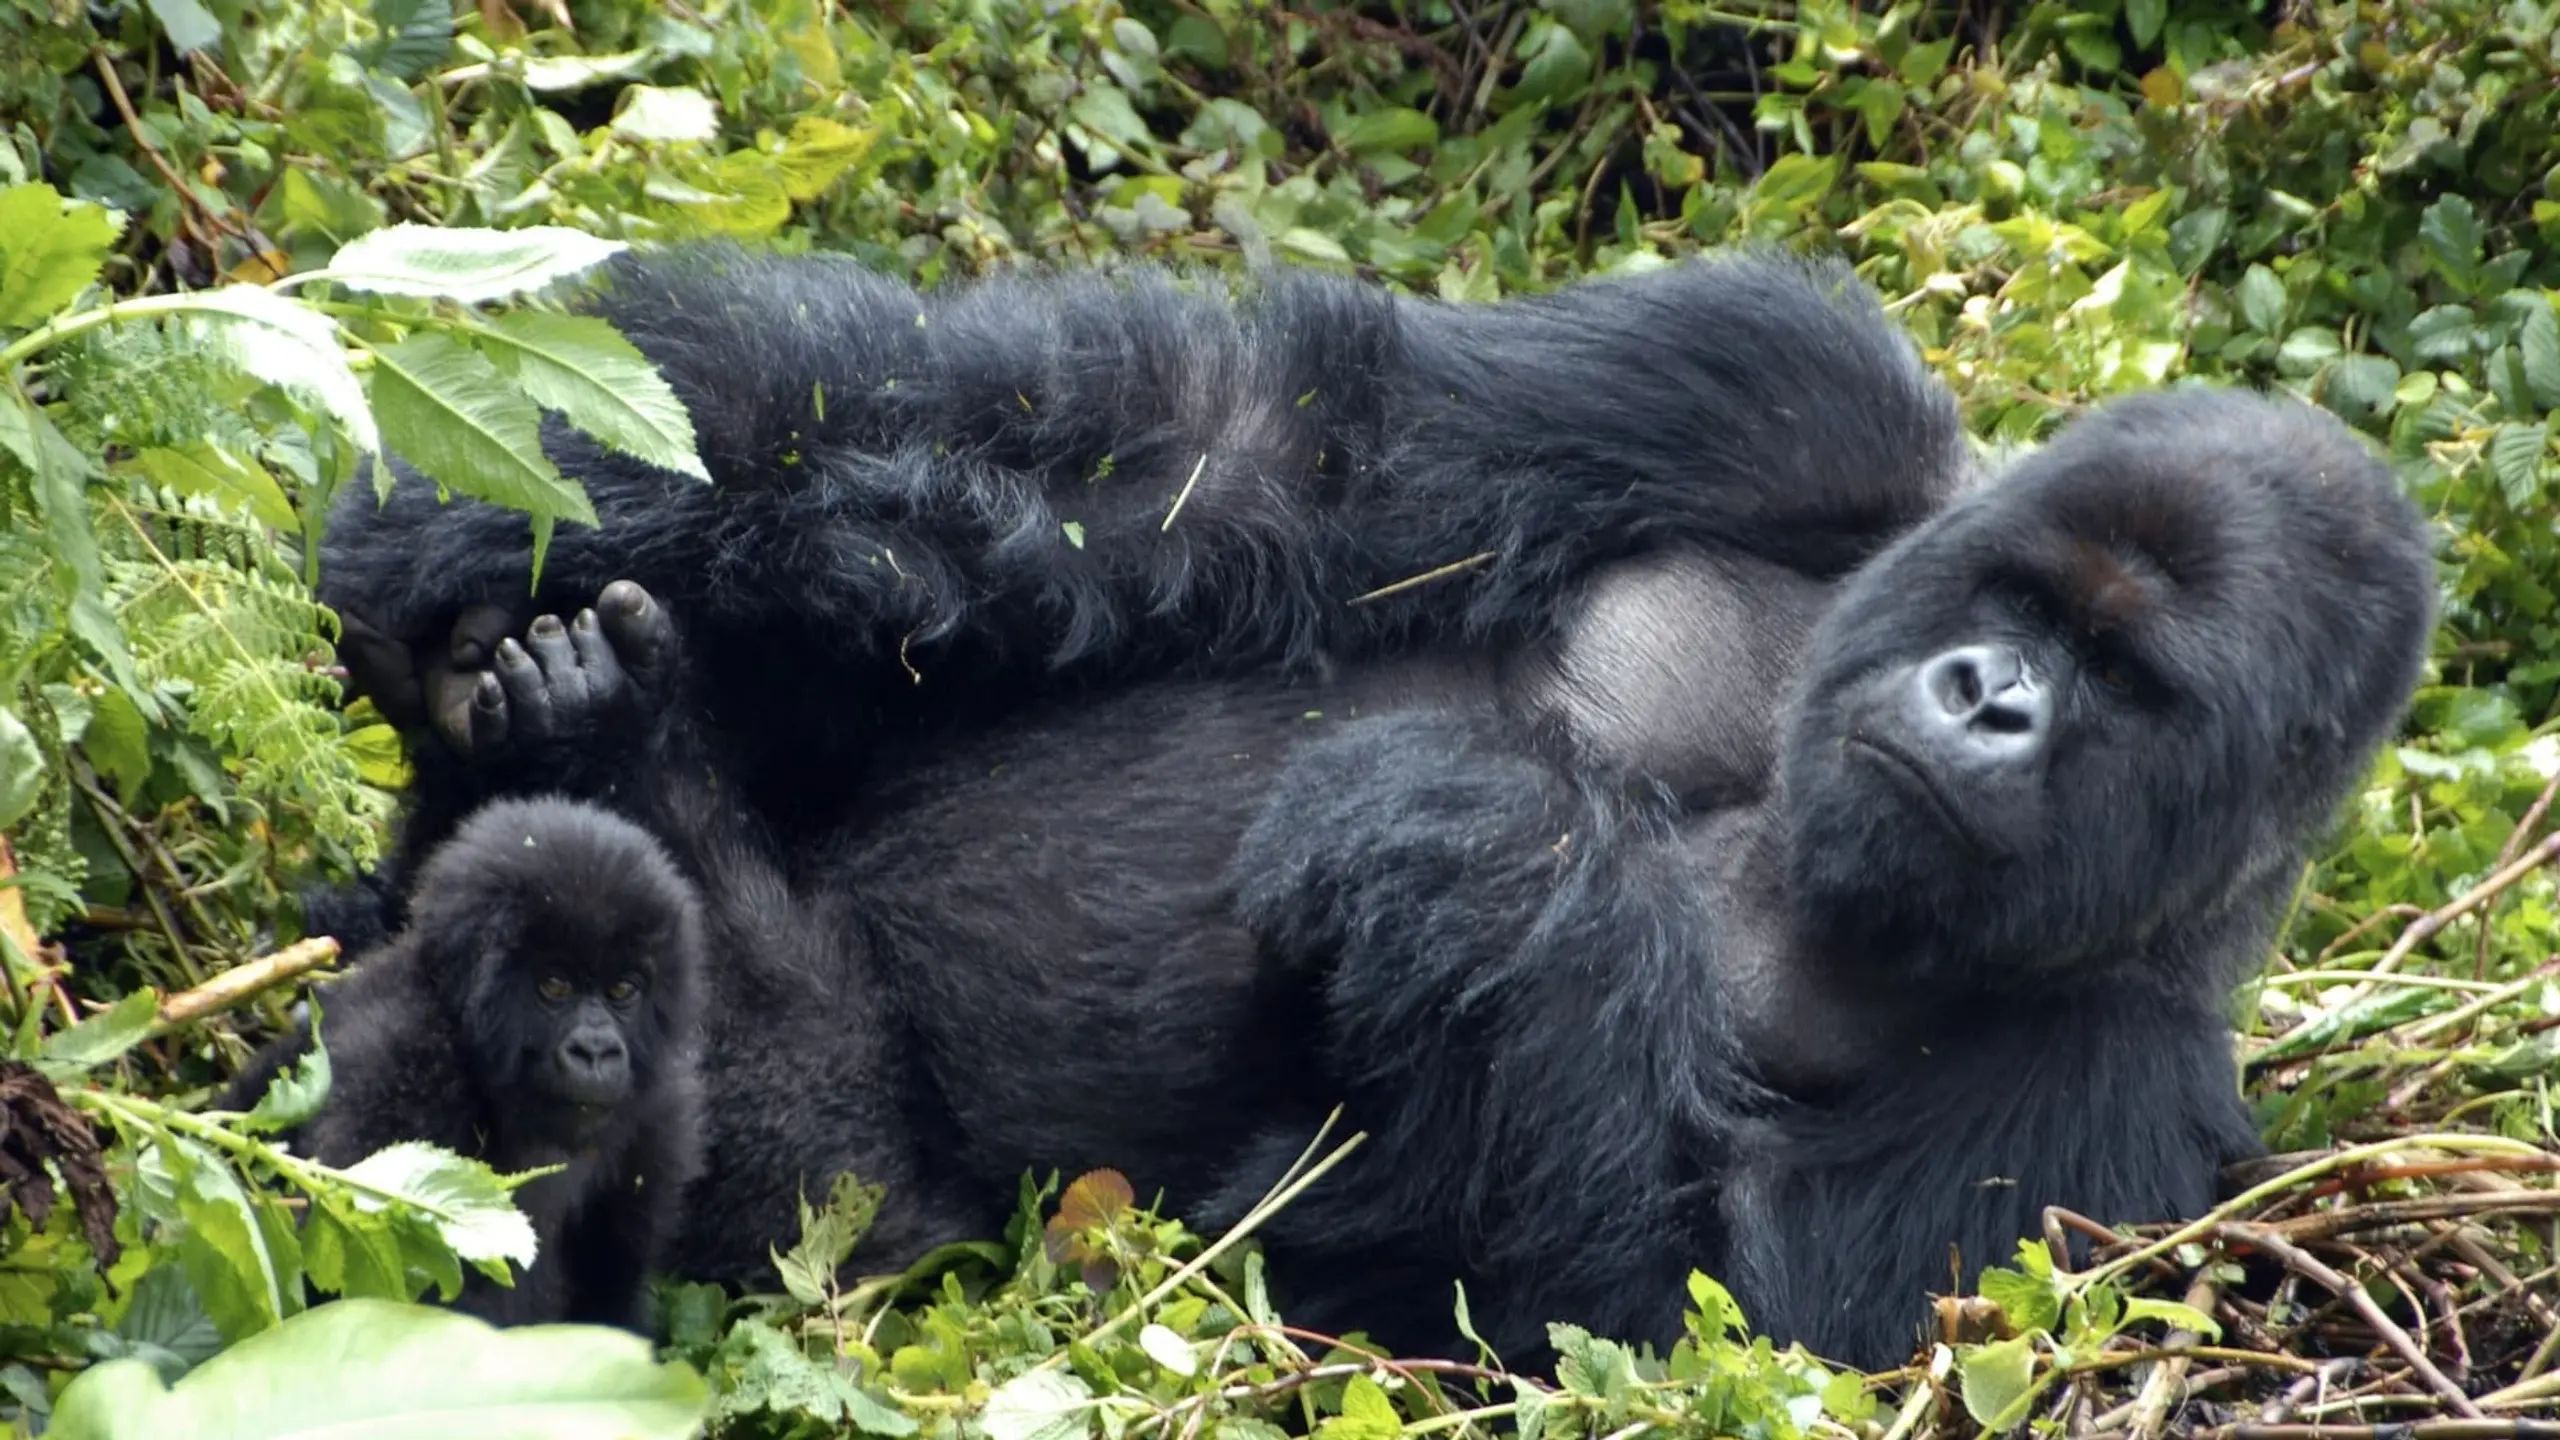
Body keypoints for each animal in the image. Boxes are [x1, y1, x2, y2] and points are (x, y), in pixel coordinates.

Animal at [236, 794, 706, 1322]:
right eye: (554, 986)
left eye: (623, 989)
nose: (595, 1051)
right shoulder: (400, 1073)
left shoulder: (660, 1113)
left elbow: (614, 1289)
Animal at [304, 249, 2437, 1363]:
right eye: (2028, 607)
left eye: (2131, 693)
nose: (1992, 700)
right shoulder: (1793, 392)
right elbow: (1260, 457)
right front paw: (536, 467)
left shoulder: (2119, 1106)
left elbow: (1687, 1324)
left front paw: (1490, 856)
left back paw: (615, 772)